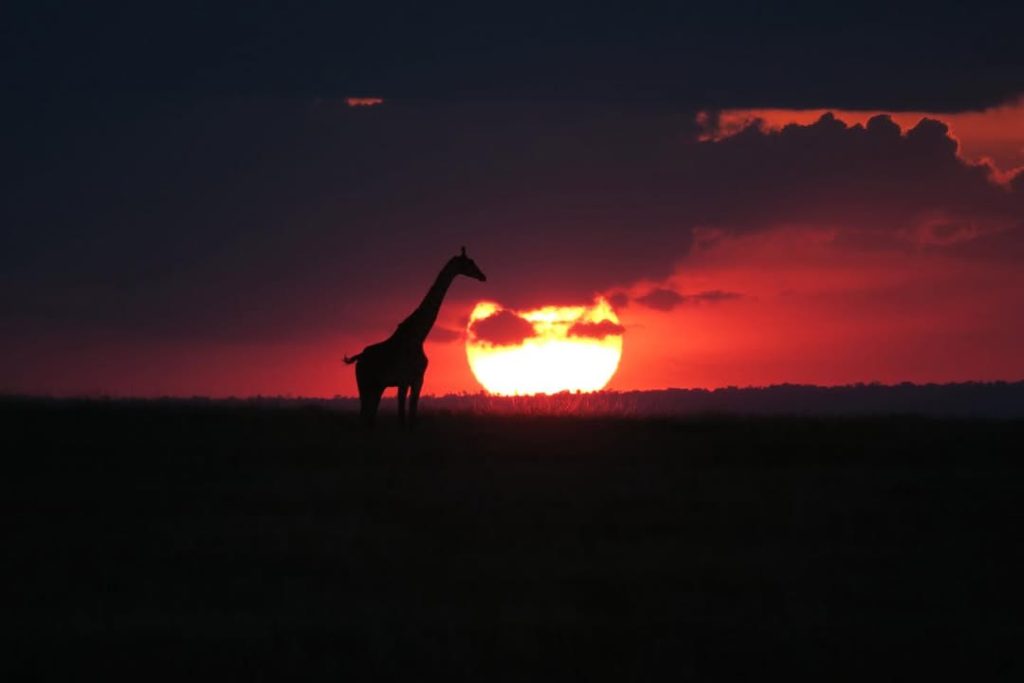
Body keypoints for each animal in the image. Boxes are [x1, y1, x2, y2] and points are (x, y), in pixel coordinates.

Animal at [343, 247, 487, 427]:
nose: (483, 276)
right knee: (364, 416)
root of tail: (359, 357)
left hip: (377, 386)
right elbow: (403, 419)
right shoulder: (406, 380)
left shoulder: (415, 380)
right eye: (470, 262)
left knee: (369, 417)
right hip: (365, 383)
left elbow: (411, 416)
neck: (418, 337)